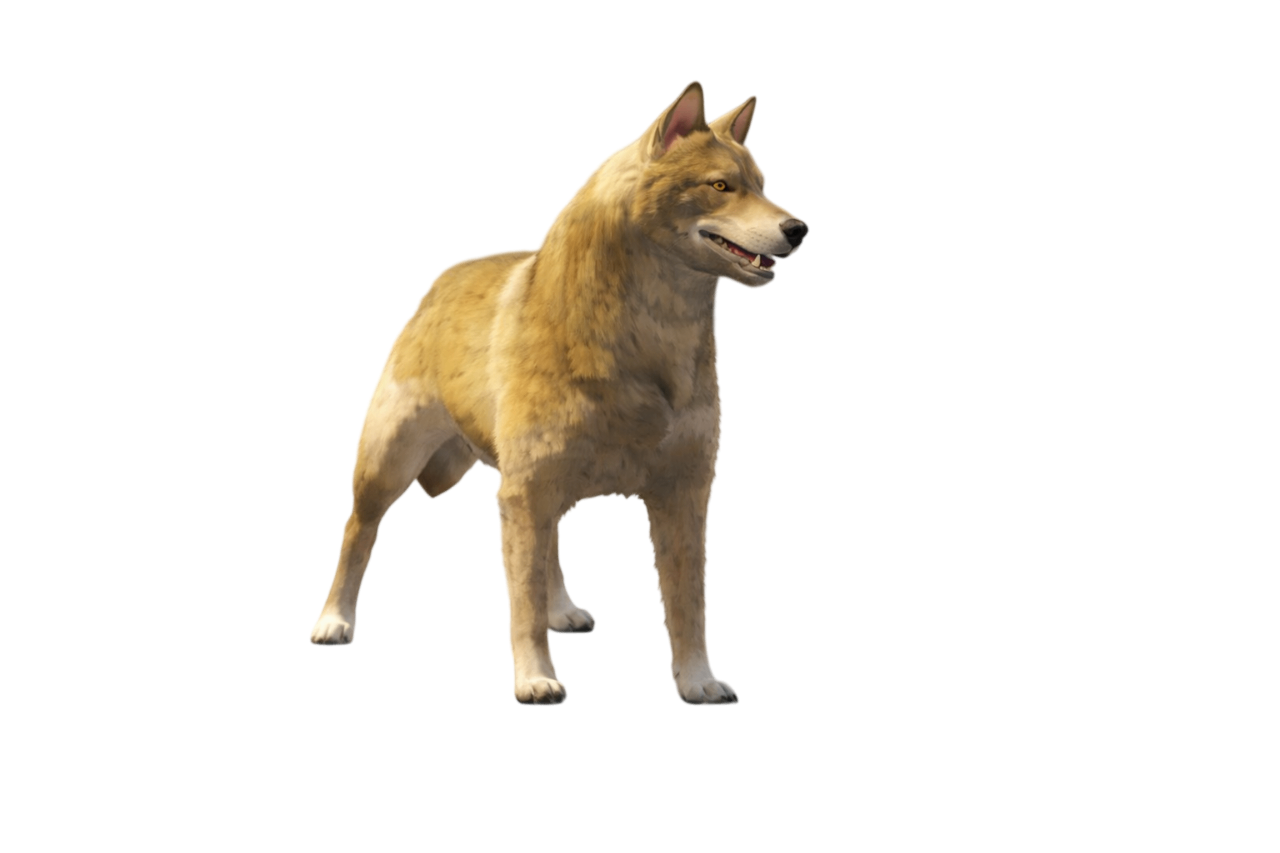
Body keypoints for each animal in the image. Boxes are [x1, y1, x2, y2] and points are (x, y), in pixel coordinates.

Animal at [308, 80, 808, 706]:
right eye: (720, 186)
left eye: (762, 184)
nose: (799, 230)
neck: (646, 341)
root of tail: (442, 279)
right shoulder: (527, 491)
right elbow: (518, 603)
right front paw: (535, 678)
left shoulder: (684, 495)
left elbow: (687, 604)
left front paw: (697, 681)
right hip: (392, 461)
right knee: (358, 529)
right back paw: (333, 621)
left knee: (545, 546)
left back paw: (562, 610)